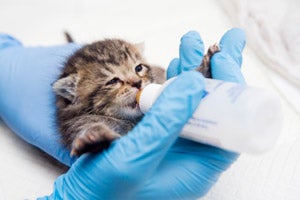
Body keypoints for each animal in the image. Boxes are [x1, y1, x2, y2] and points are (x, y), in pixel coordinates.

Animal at [53, 37, 218, 156]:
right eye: (112, 81)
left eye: (138, 68)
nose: (138, 83)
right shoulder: (76, 124)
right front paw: (95, 140)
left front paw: (205, 69)